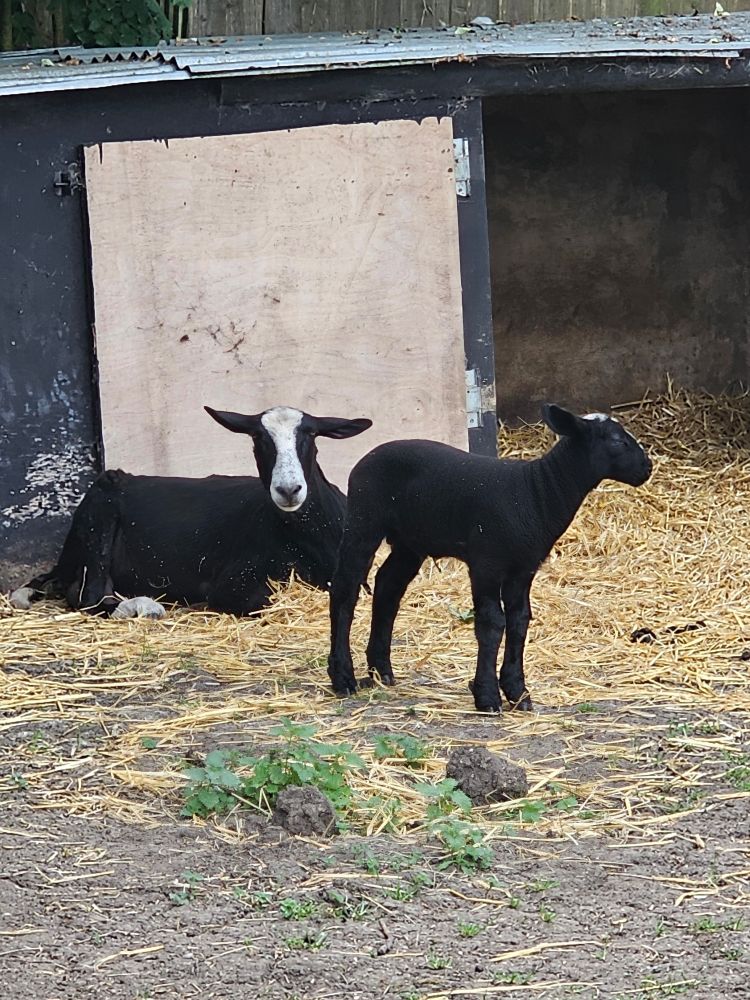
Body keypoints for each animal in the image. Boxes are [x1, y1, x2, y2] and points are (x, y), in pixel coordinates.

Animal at [10, 405, 372, 618]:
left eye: (310, 434)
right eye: (257, 437)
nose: (288, 490)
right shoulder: (234, 584)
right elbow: (257, 601)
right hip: (98, 519)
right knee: (90, 594)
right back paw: (144, 606)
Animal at [327, 403, 652, 713]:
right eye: (616, 441)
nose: (647, 467)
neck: (537, 492)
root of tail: (368, 457)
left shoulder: (523, 569)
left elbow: (519, 621)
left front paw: (518, 692)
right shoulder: (486, 563)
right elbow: (492, 623)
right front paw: (487, 696)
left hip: (410, 542)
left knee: (387, 588)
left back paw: (381, 670)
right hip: (364, 520)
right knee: (345, 590)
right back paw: (343, 677)